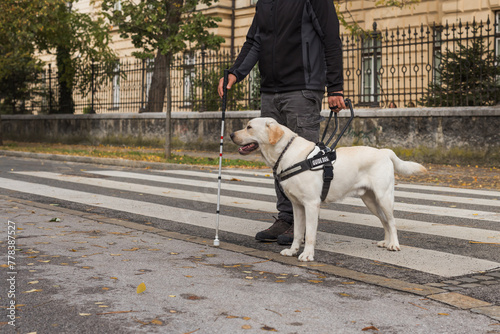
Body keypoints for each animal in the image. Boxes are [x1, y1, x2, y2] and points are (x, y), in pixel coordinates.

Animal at [230, 118, 426, 262]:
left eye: (249, 127)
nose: (231, 134)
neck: (287, 154)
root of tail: (384, 151)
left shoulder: (311, 204)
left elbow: (309, 234)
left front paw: (307, 255)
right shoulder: (297, 206)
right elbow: (298, 233)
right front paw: (292, 251)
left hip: (384, 197)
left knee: (392, 221)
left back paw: (394, 245)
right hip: (370, 200)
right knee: (384, 221)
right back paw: (386, 242)